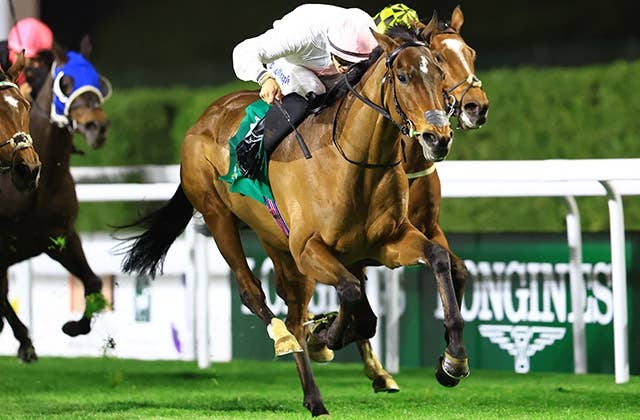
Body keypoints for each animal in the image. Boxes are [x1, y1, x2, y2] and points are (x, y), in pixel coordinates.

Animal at [121, 27, 468, 416]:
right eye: (404, 77)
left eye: (439, 74)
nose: (438, 138)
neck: (354, 161)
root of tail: (204, 117)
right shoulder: (308, 249)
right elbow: (353, 294)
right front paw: (327, 335)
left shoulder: (388, 241)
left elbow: (436, 259)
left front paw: (452, 362)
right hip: (219, 217)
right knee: (257, 295)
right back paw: (290, 346)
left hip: (276, 242)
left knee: (294, 310)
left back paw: (313, 390)